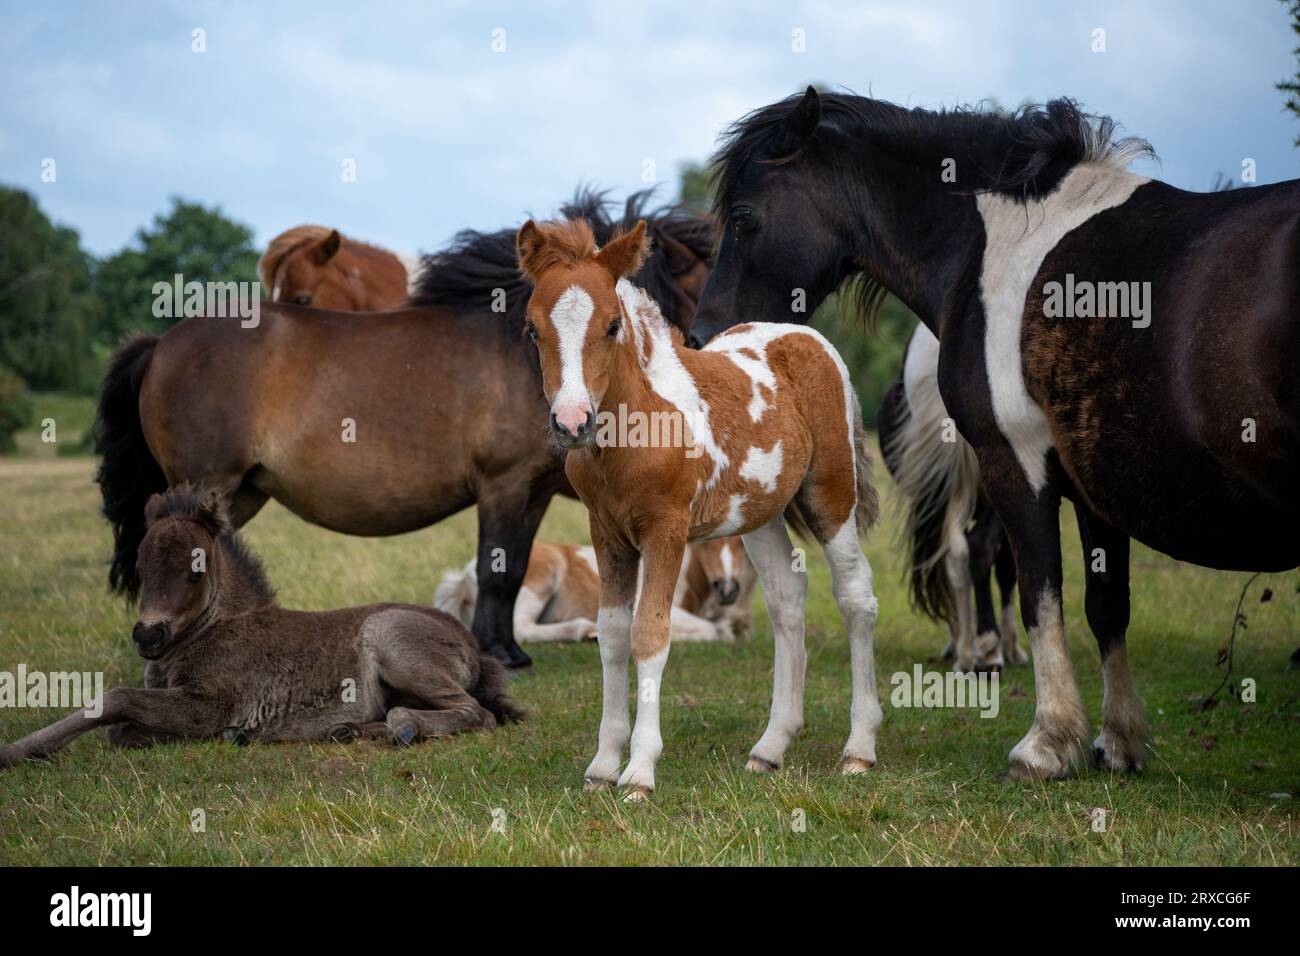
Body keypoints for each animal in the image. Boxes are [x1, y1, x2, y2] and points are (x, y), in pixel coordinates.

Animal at [1, 486, 517, 770]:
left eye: (195, 569)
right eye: (141, 570)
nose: (148, 635)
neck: (213, 628)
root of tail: (473, 645)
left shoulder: (212, 702)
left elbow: (114, 701)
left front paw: (17, 750)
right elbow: (121, 729)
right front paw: (231, 736)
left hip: (393, 640)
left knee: (477, 714)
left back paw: (404, 726)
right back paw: (351, 730)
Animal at [517, 217, 883, 801]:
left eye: (613, 325)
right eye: (532, 330)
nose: (572, 423)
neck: (636, 425)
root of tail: (809, 338)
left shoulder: (666, 529)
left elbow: (650, 633)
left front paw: (639, 772)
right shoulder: (607, 532)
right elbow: (612, 636)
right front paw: (602, 765)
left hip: (831, 494)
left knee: (855, 597)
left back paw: (859, 748)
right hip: (759, 516)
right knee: (786, 598)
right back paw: (771, 747)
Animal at [691, 85, 1300, 780]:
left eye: (743, 217)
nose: (704, 335)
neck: (1002, 249)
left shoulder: (1017, 460)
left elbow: (1039, 592)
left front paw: (1047, 742)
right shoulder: (1093, 479)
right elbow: (1105, 603)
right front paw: (1118, 741)